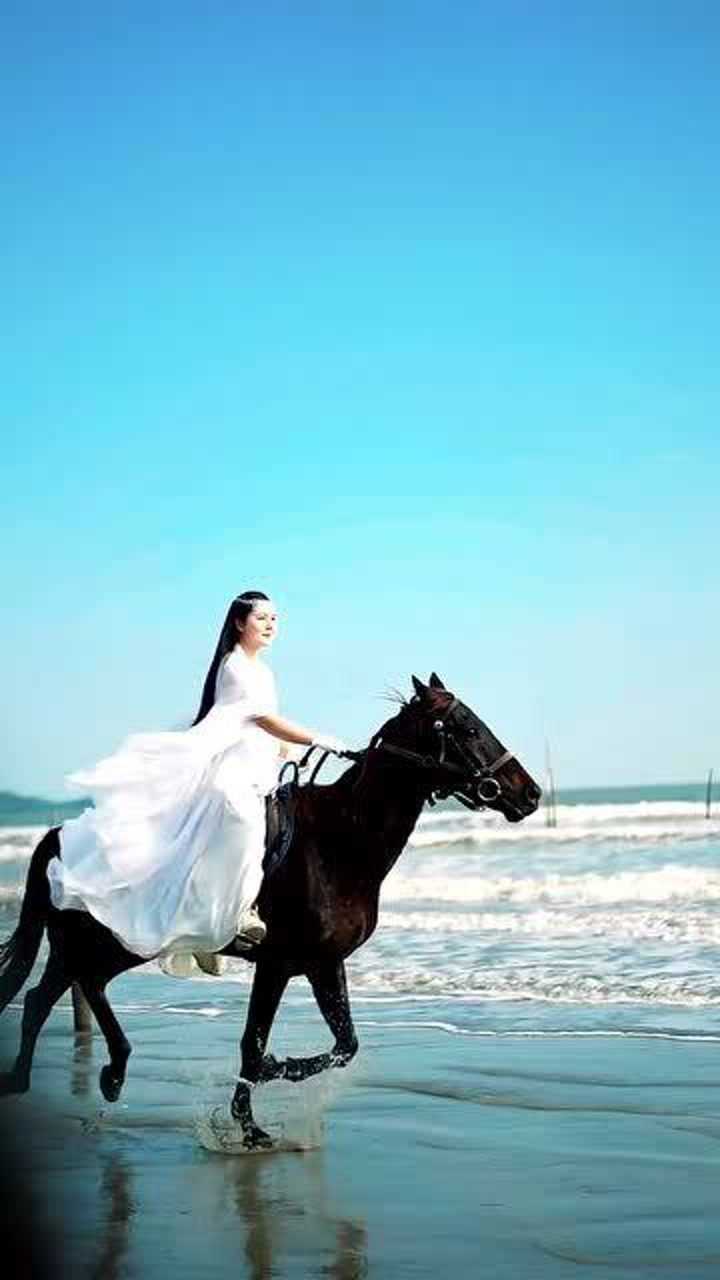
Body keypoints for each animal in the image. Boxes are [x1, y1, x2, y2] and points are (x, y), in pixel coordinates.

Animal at [0, 673, 540, 1148]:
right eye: (468, 728)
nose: (530, 794)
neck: (341, 842)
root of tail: (59, 834)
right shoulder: (277, 963)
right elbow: (254, 1045)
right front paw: (251, 1122)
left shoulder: (324, 963)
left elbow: (345, 1046)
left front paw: (264, 1098)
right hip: (117, 939)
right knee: (75, 987)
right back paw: (101, 1072)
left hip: (100, 943)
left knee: (50, 995)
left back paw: (45, 1081)